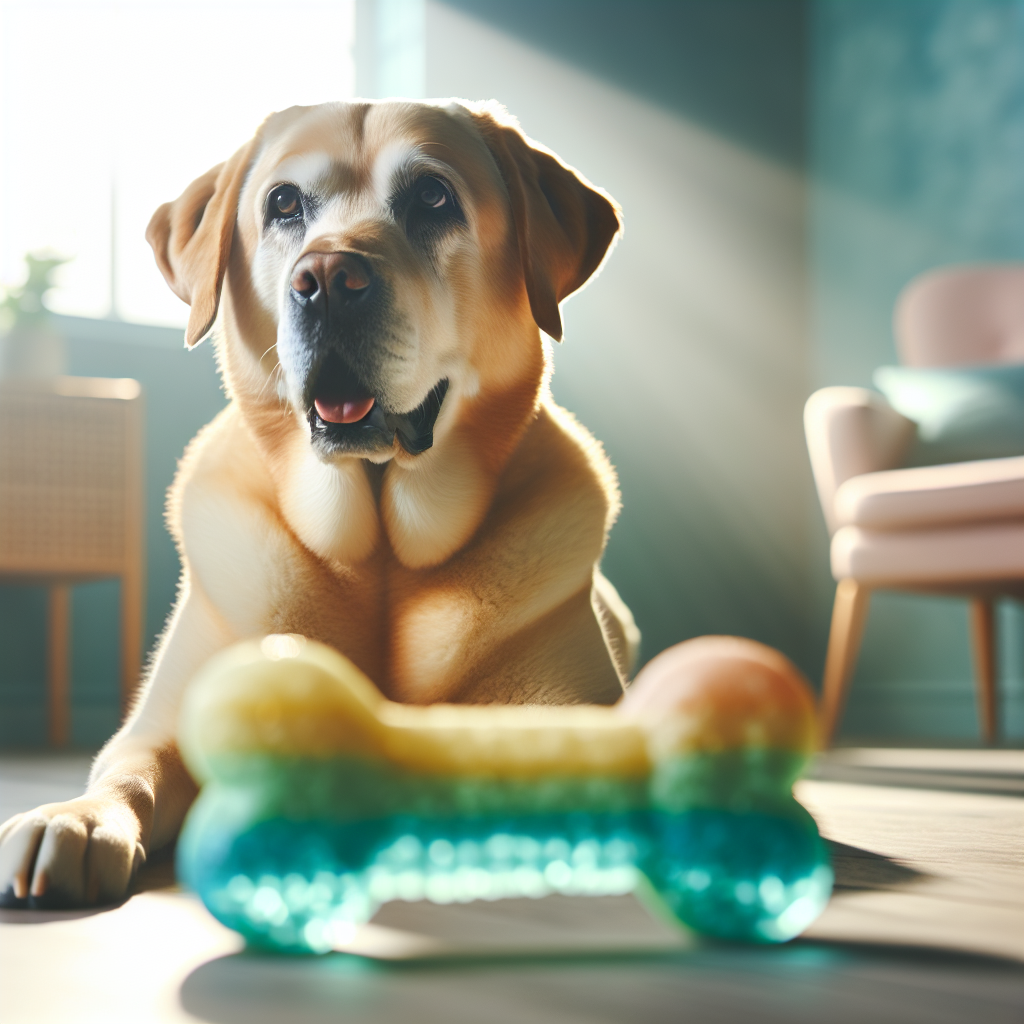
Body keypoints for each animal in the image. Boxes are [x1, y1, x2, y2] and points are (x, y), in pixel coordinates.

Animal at [2, 99, 638, 909]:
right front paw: (75, 819)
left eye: (434, 197)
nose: (328, 277)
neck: (380, 549)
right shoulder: (163, 726)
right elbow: (129, 770)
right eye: (283, 204)